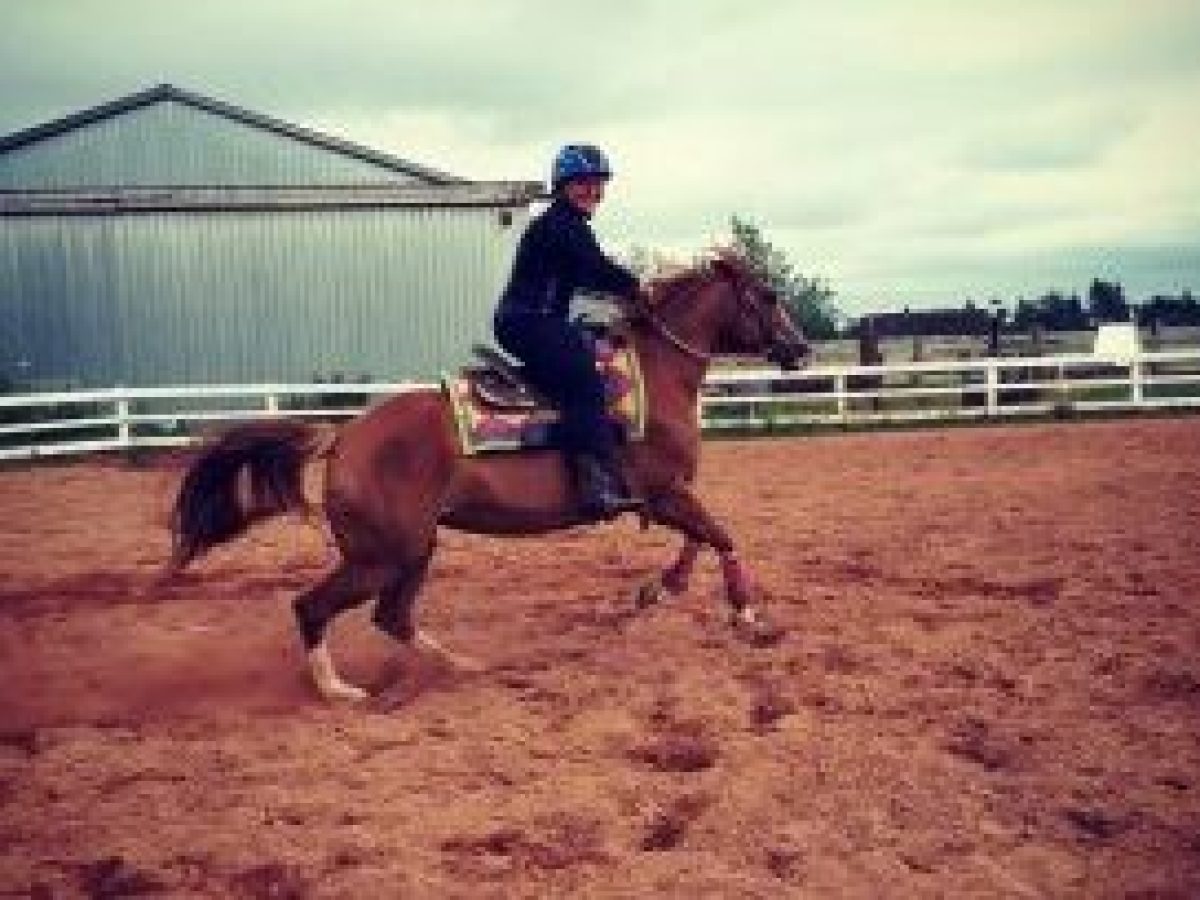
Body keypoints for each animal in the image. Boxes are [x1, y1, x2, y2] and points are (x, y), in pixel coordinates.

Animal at [168, 251, 809, 702]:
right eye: (768, 294)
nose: (802, 349)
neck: (654, 375)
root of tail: (343, 437)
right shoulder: (665, 492)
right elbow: (720, 535)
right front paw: (747, 615)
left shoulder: (666, 496)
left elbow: (700, 540)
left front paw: (660, 589)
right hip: (381, 555)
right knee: (312, 607)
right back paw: (340, 690)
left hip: (413, 551)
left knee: (390, 616)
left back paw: (463, 667)